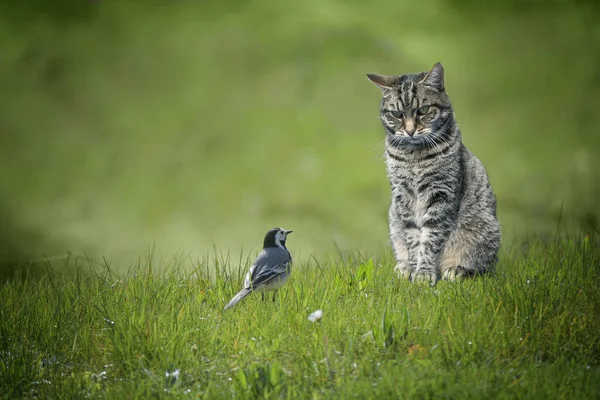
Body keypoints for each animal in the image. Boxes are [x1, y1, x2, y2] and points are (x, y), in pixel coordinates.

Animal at [366, 62, 502, 282]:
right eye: (397, 114)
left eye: (423, 110)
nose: (410, 130)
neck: (414, 156)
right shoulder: (403, 196)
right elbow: (413, 238)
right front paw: (413, 268)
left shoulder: (441, 193)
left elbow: (430, 238)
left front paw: (424, 273)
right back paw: (403, 266)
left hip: (485, 231)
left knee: (483, 267)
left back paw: (456, 270)